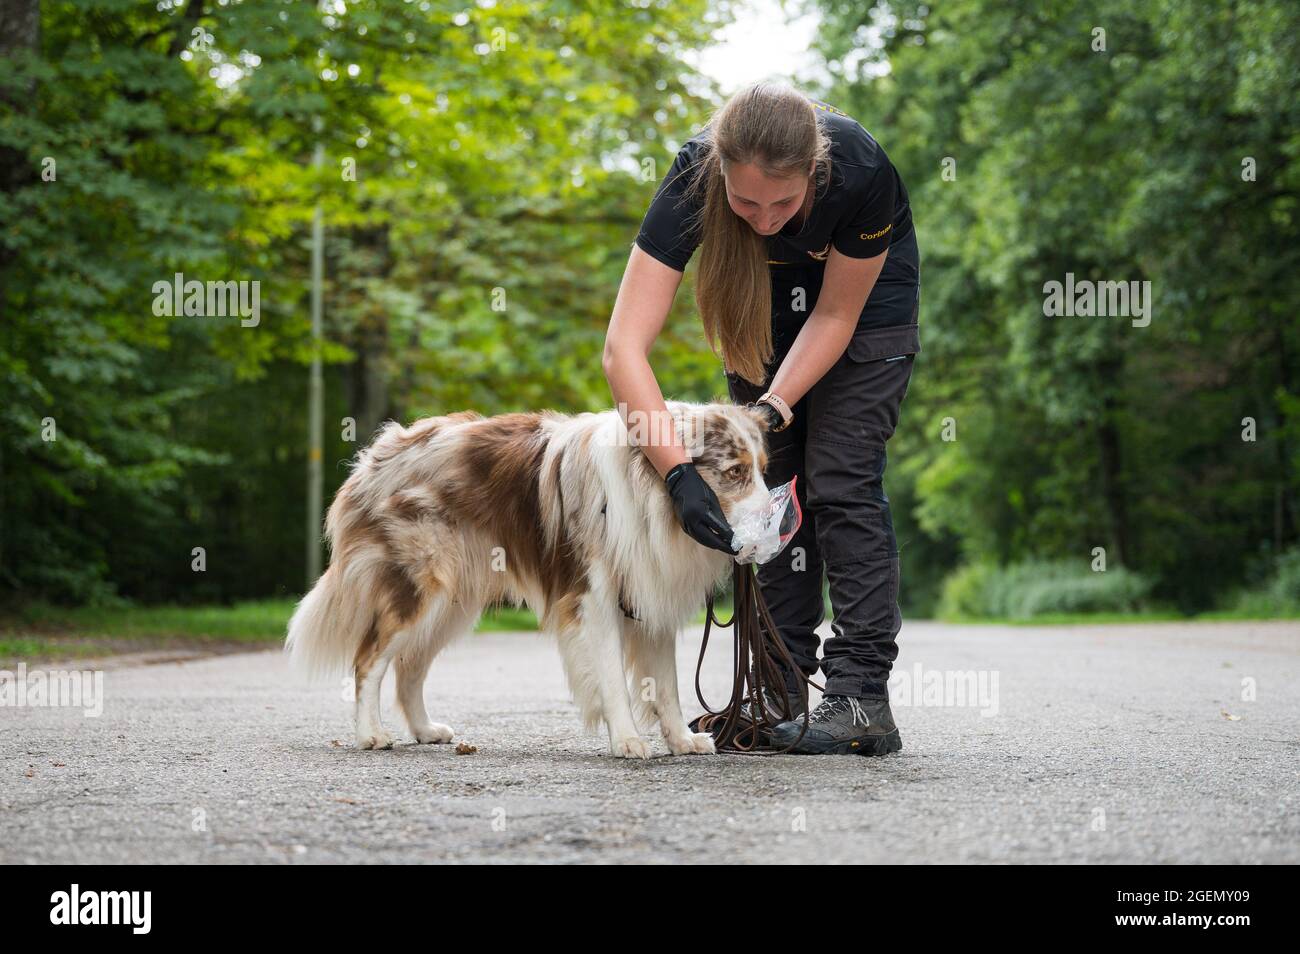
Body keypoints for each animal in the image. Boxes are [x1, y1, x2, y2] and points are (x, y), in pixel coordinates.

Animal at [286, 402, 769, 764]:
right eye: (735, 472)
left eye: (764, 469)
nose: (775, 522)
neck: (653, 490)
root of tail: (378, 452)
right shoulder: (593, 600)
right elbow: (613, 677)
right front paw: (627, 739)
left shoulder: (652, 595)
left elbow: (666, 685)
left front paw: (681, 741)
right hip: (418, 588)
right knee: (368, 660)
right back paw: (371, 734)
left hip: (453, 602)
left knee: (410, 666)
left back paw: (425, 729)